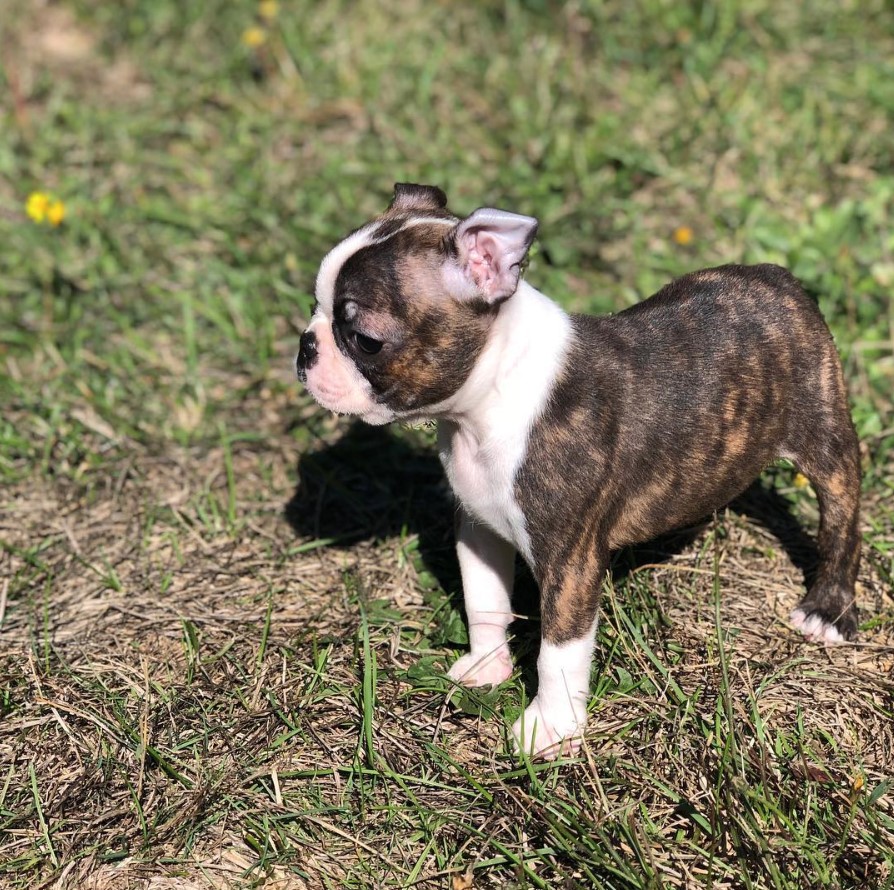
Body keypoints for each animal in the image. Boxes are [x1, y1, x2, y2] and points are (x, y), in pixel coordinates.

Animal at [298, 184, 864, 760]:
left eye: (364, 339)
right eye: (313, 307)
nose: (306, 346)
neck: (488, 404)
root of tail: (779, 278)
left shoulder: (570, 562)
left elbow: (558, 651)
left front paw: (550, 730)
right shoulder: (478, 527)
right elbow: (484, 600)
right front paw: (488, 666)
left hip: (824, 437)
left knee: (842, 520)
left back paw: (827, 610)